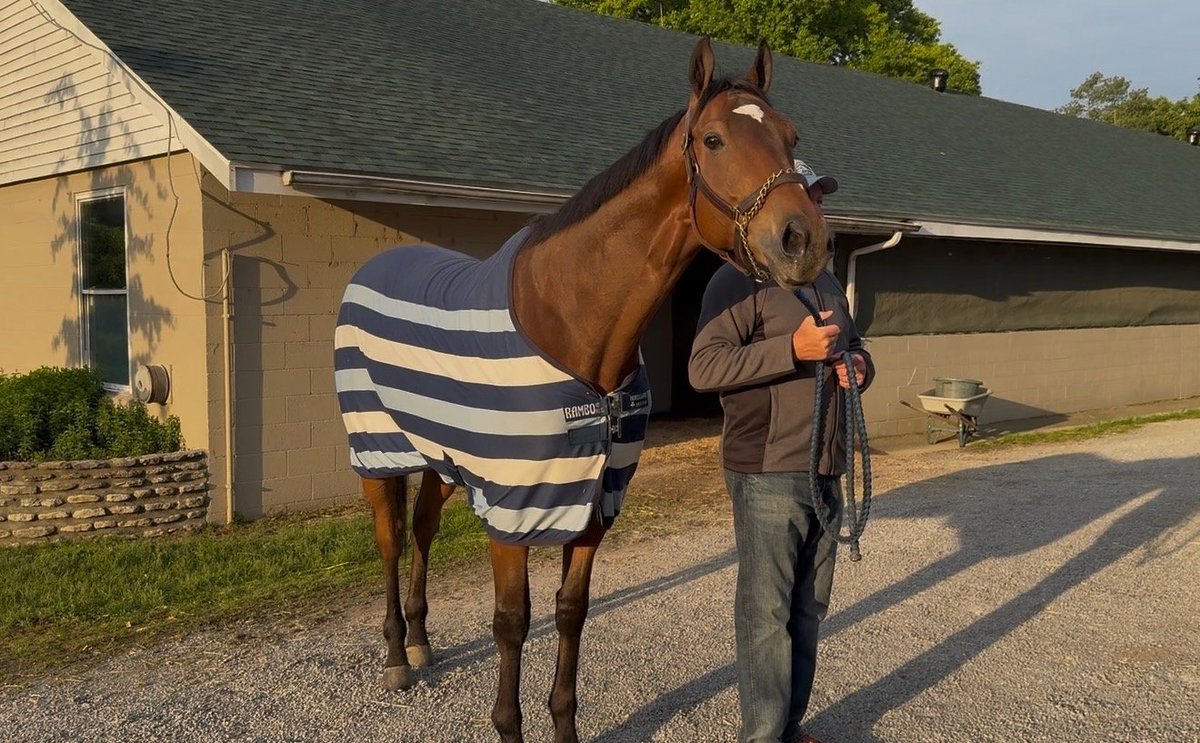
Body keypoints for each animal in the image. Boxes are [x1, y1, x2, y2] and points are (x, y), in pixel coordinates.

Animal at [334, 37, 830, 743]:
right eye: (712, 140)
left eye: (791, 136)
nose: (803, 240)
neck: (571, 325)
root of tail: (372, 267)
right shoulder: (511, 509)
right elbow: (512, 622)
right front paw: (508, 726)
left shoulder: (596, 502)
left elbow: (571, 611)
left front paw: (563, 724)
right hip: (378, 452)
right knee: (392, 540)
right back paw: (398, 658)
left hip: (439, 455)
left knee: (423, 531)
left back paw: (423, 641)